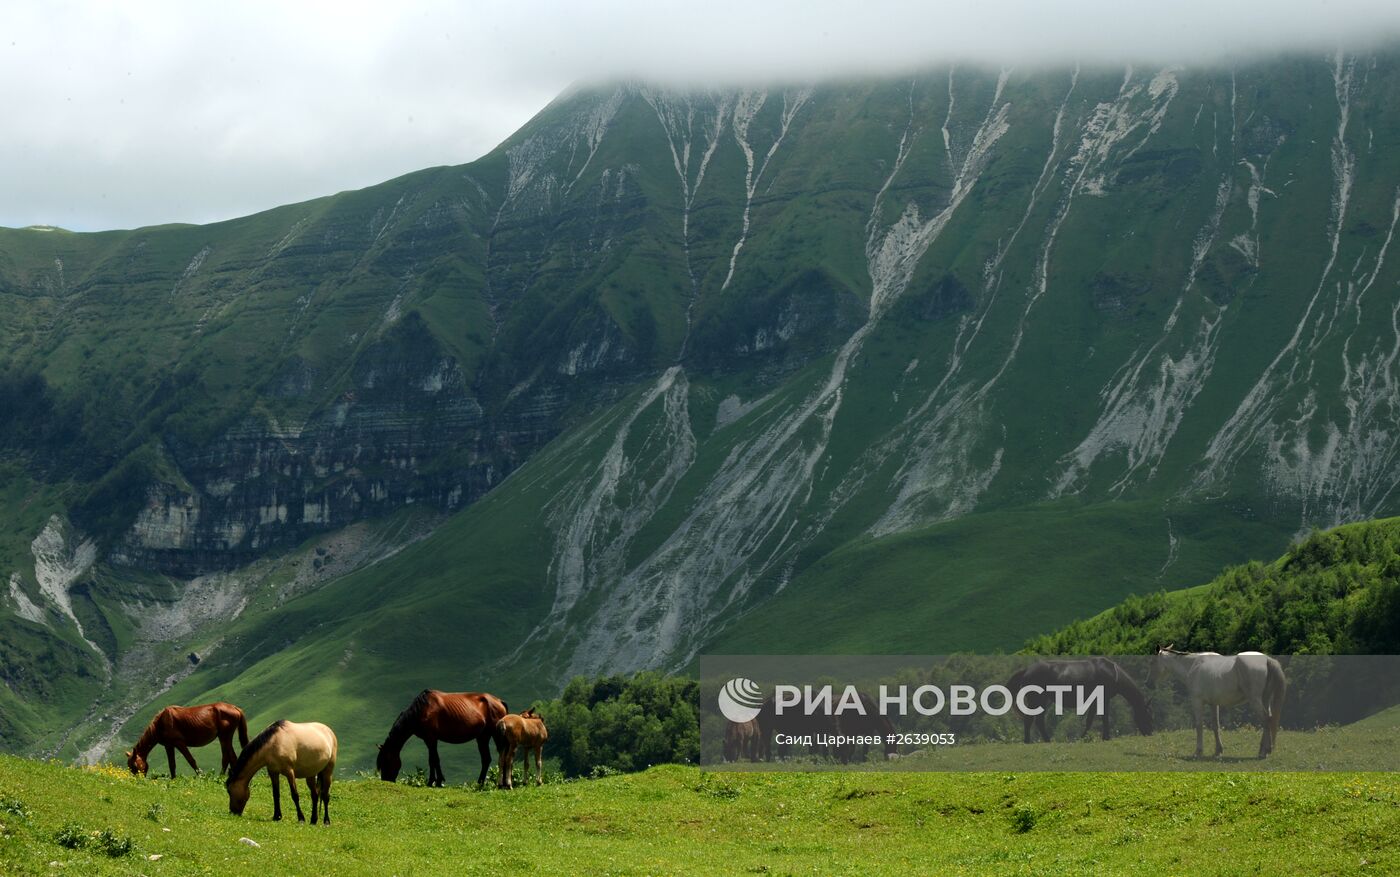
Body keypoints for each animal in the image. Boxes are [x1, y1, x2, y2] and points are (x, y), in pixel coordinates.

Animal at [378, 689, 509, 784]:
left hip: (494, 735)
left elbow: (433, 760)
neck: (421, 710)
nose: (386, 780)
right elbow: (434, 759)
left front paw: (433, 782)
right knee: (486, 759)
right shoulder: (430, 740)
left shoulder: (431, 739)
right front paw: (438, 781)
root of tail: (499, 701)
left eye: (386, 761)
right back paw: (480, 783)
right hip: (482, 737)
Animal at [1013, 652, 1153, 739]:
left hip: (1042, 701)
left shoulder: (1096, 701)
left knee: (1038, 721)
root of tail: (1026, 670)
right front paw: (1104, 737)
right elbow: (1103, 718)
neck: (1112, 673)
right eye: (1147, 716)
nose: (1150, 733)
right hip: (1036, 700)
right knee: (1030, 720)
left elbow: (1090, 720)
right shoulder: (1103, 700)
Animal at [1153, 641, 1282, 756]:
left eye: (1153, 662)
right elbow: (1216, 726)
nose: (1151, 681)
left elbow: (1199, 725)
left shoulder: (1197, 701)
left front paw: (1198, 751)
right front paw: (1218, 751)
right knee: (1269, 719)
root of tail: (1267, 660)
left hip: (1255, 700)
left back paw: (1264, 752)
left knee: (1266, 719)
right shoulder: (1213, 704)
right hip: (1264, 699)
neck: (1193, 665)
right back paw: (1265, 750)